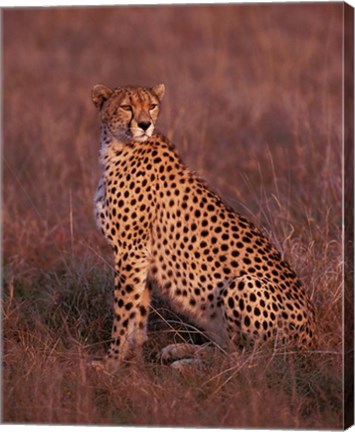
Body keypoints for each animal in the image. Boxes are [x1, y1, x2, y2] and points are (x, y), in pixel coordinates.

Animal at [92, 83, 318, 372]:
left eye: (152, 106)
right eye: (126, 106)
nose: (145, 124)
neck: (118, 147)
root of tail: (311, 342)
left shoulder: (131, 251)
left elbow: (123, 312)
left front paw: (111, 362)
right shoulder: (140, 257)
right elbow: (138, 312)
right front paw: (134, 358)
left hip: (244, 285)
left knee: (248, 361)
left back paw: (187, 363)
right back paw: (183, 350)